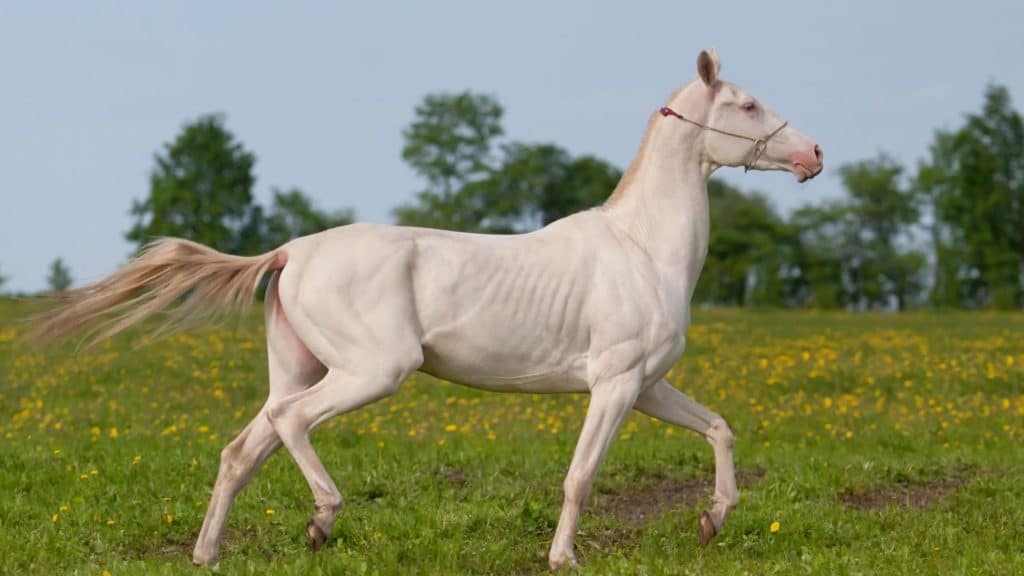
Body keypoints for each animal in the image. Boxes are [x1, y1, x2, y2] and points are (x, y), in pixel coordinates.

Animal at [36, 50, 823, 569]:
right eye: (747, 105)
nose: (814, 154)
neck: (642, 249)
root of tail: (291, 252)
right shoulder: (616, 384)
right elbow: (580, 476)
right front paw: (563, 558)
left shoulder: (649, 385)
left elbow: (719, 429)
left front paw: (711, 522)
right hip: (373, 371)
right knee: (289, 426)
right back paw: (322, 521)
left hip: (300, 369)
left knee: (242, 449)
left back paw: (208, 553)